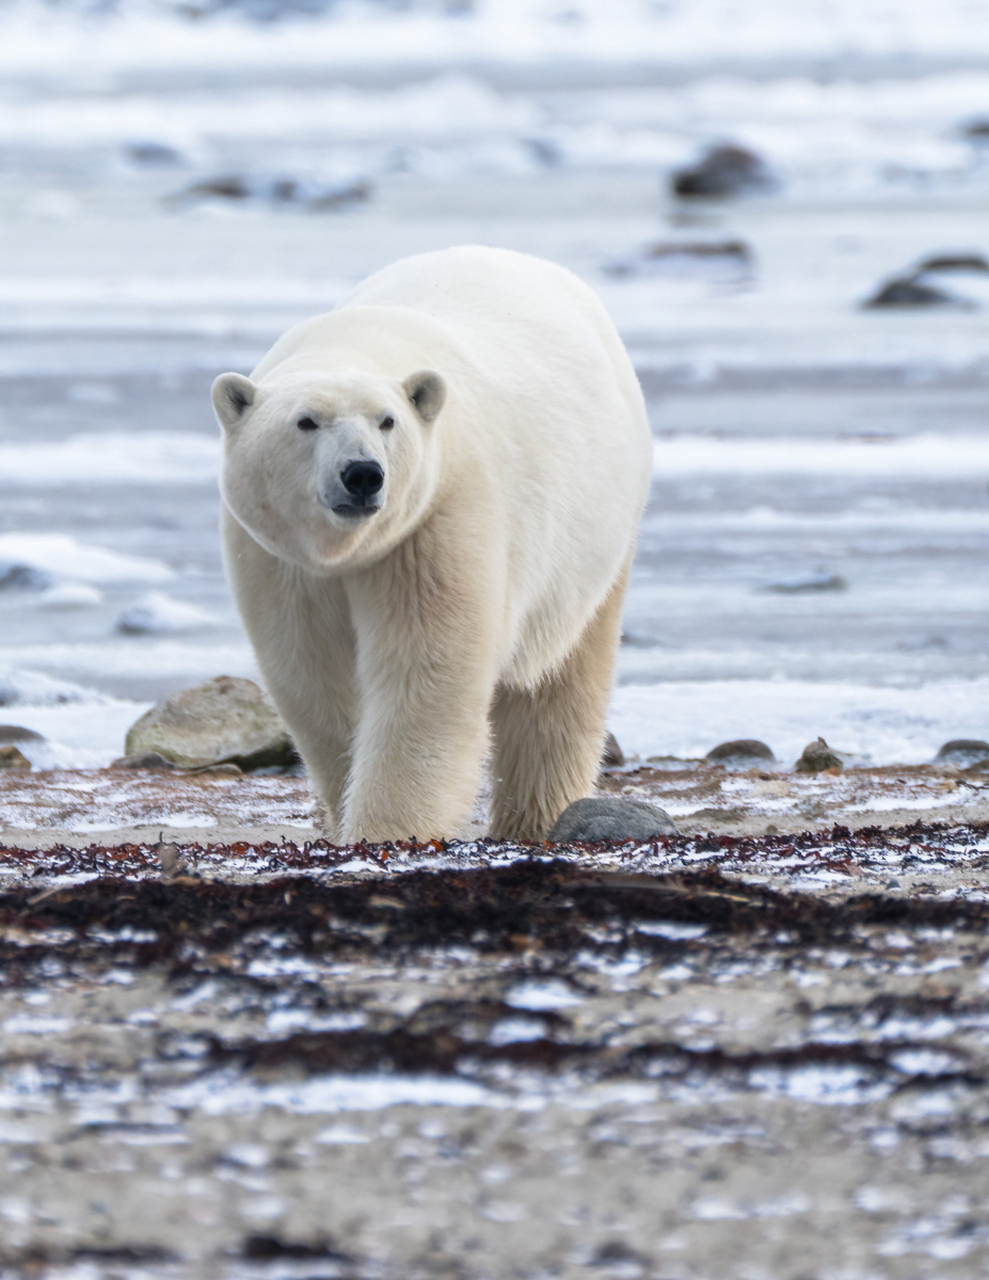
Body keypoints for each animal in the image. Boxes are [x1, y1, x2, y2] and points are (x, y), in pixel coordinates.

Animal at [212, 247, 652, 849]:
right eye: (306, 422)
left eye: (387, 421)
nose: (363, 474)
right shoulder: (279, 560)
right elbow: (312, 672)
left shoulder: (436, 518)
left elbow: (428, 669)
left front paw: (383, 830)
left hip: (593, 536)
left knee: (561, 676)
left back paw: (534, 817)